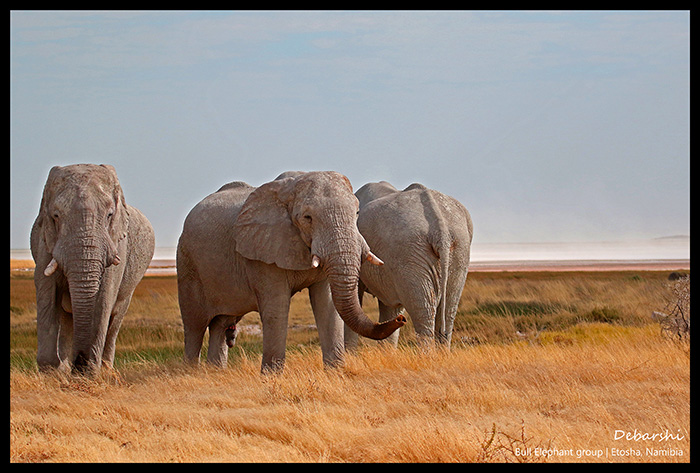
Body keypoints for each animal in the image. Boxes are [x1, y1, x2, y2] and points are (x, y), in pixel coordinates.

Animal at [30, 164, 155, 374]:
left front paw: (89, 372)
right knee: (66, 318)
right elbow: (46, 290)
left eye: (109, 215)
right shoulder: (45, 241)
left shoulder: (117, 242)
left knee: (115, 317)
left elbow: (105, 297)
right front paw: (52, 373)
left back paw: (104, 368)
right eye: (56, 216)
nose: (80, 362)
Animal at [175, 170, 404, 372]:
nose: (400, 320)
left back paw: (215, 371)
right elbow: (276, 309)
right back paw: (191, 373)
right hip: (187, 262)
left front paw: (336, 373)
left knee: (221, 323)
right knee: (194, 324)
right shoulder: (262, 251)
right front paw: (271, 378)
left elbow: (327, 304)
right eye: (307, 217)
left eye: (356, 213)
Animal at [346, 182, 474, 350]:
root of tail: (441, 231)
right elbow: (391, 308)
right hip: (458, 251)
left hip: (411, 253)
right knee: (448, 311)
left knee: (425, 312)